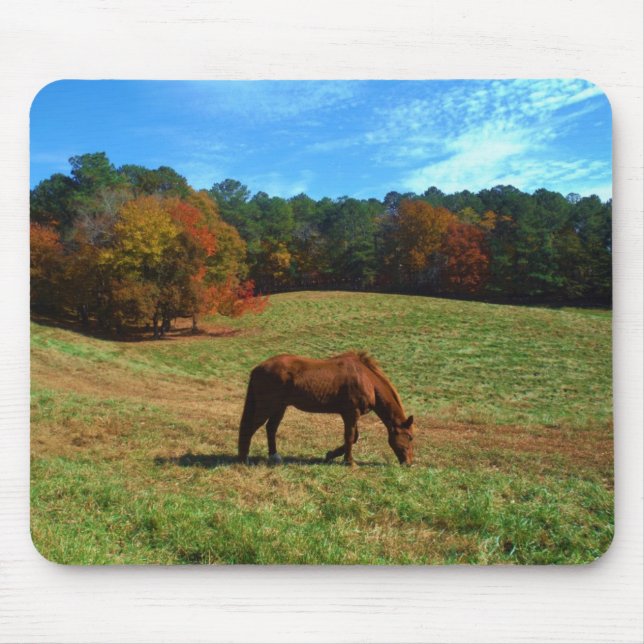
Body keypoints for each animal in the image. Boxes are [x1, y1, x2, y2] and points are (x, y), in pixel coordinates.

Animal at [237, 351, 416, 466]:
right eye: (409, 437)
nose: (409, 463)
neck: (367, 380)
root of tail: (258, 368)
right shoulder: (351, 413)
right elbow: (350, 437)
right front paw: (349, 462)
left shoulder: (351, 414)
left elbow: (354, 437)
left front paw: (330, 455)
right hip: (267, 406)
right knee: (250, 428)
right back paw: (243, 459)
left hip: (279, 407)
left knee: (271, 429)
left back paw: (274, 456)